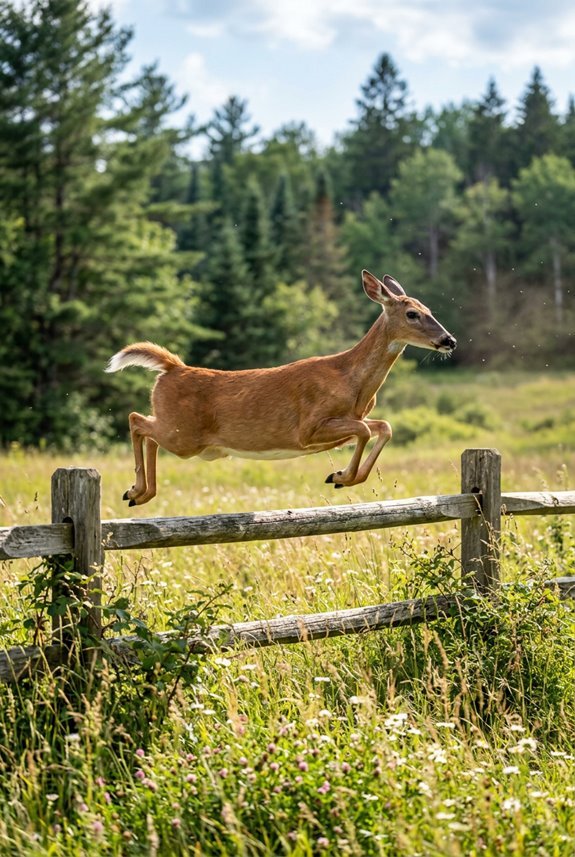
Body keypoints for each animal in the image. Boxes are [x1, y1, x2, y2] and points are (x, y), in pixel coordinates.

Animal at [105, 270, 456, 506]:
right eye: (412, 313)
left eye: (430, 311)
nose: (449, 340)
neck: (351, 381)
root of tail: (173, 367)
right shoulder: (308, 428)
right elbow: (367, 431)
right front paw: (342, 477)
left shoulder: (350, 419)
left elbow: (383, 427)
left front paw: (343, 478)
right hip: (184, 435)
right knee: (137, 420)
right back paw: (136, 491)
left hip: (184, 435)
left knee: (147, 431)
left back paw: (140, 493)